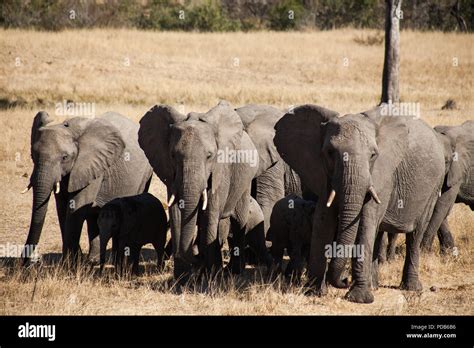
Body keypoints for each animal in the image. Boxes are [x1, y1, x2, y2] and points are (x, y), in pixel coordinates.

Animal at [21, 111, 152, 264]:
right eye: (33, 155)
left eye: (65, 157)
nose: (27, 262)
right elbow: (62, 206)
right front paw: (74, 261)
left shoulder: (93, 165)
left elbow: (76, 206)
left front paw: (70, 265)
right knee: (94, 216)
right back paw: (93, 260)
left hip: (145, 174)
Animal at [137, 101, 262, 280]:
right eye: (173, 155)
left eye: (210, 156)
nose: (197, 257)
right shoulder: (170, 173)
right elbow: (176, 214)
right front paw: (181, 278)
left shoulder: (220, 171)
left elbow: (209, 212)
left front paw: (210, 277)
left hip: (245, 181)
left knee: (238, 220)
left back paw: (233, 271)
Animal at [276, 104, 446, 304]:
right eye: (330, 153)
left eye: (373, 155)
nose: (344, 280)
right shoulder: (323, 172)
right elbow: (323, 220)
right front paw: (312, 292)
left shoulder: (382, 174)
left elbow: (366, 221)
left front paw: (359, 298)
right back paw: (375, 285)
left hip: (435, 185)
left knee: (415, 234)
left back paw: (410, 287)